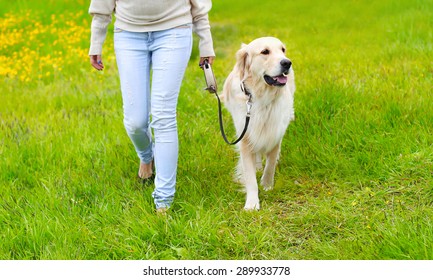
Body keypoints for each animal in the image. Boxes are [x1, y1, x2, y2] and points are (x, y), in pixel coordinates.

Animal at [219, 37, 294, 210]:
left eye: (283, 50)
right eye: (265, 52)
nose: (287, 63)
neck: (262, 98)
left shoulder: (275, 132)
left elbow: (271, 164)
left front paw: (267, 185)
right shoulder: (245, 136)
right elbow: (250, 176)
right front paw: (252, 204)